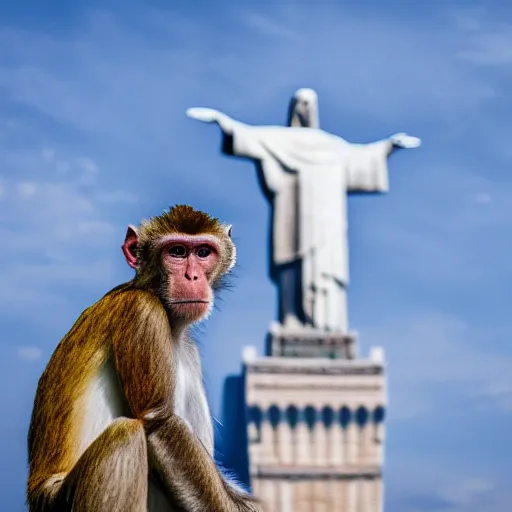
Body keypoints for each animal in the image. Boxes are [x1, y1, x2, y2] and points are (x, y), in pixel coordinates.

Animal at [27, 205, 260, 512]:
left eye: (202, 252)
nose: (192, 278)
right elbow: (159, 422)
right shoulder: (142, 311)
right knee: (126, 435)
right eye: (176, 251)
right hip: (58, 501)